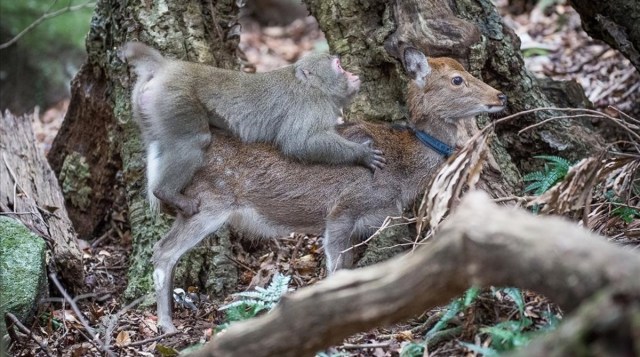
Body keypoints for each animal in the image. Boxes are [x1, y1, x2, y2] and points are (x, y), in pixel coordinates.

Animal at [150, 48, 504, 330]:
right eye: (457, 80)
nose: (499, 96)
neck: (400, 170)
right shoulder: (343, 208)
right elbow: (334, 270)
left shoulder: (366, 223)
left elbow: (349, 271)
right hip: (208, 202)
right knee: (163, 251)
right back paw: (166, 325)